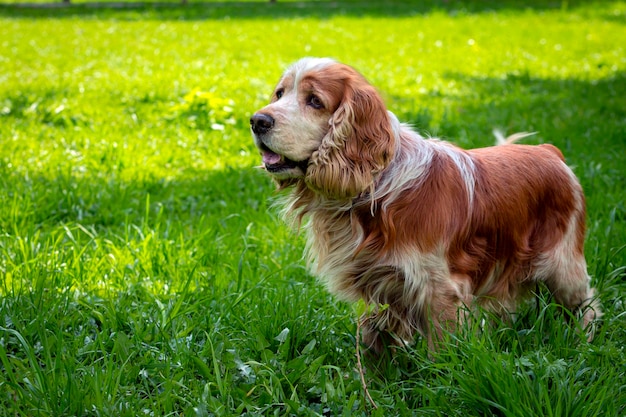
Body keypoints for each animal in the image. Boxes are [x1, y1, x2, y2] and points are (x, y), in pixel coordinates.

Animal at [249, 57, 600, 352]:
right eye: (279, 94)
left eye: (314, 101)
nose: (257, 121)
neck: (376, 186)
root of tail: (548, 151)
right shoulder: (380, 287)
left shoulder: (439, 289)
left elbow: (440, 354)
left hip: (564, 265)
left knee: (587, 306)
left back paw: (584, 344)